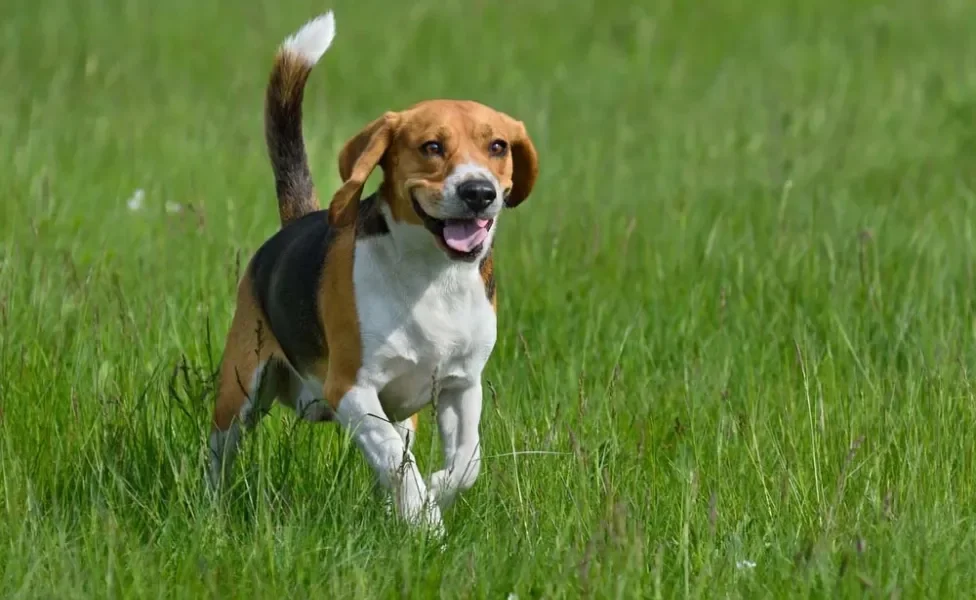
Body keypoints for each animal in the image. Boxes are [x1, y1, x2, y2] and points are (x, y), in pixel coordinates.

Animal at [208, 10, 540, 536]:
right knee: (219, 455)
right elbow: (396, 463)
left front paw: (435, 490)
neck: (434, 275)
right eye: (431, 146)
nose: (479, 192)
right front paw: (425, 520)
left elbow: (465, 462)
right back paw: (212, 511)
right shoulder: (351, 388)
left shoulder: (462, 384)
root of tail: (298, 221)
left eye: (498, 146)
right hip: (239, 388)